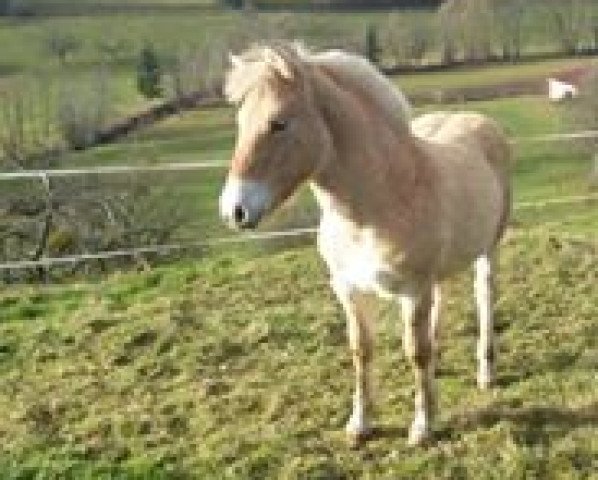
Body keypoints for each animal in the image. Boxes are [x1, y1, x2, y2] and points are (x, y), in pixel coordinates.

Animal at [218, 43, 512, 444]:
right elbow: (362, 350)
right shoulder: (349, 290)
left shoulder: (412, 292)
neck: (376, 206)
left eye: (279, 123)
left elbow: (415, 352)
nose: (234, 210)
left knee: (484, 298)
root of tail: (477, 120)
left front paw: (423, 426)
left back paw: (486, 372)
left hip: (488, 251)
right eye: (240, 122)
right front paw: (360, 424)